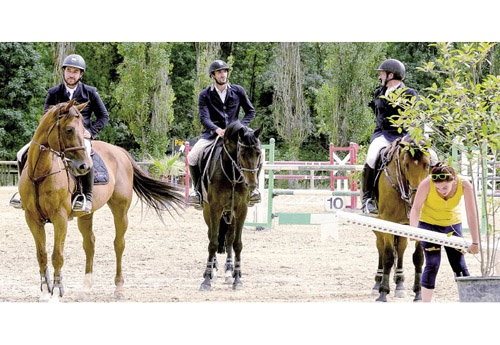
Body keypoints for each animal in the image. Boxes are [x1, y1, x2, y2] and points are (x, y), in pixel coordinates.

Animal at [17, 99, 187, 298]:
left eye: (82, 128)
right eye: (69, 129)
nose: (84, 166)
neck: (40, 174)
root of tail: (119, 151)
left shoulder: (60, 218)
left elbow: (57, 255)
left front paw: (58, 290)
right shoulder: (32, 218)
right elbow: (41, 255)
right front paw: (45, 290)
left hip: (120, 210)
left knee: (119, 244)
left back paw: (119, 287)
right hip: (86, 214)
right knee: (89, 243)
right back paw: (86, 285)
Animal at [198, 121, 264, 290]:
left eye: (258, 153)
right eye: (241, 154)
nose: (252, 184)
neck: (232, 172)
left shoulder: (241, 209)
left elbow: (237, 243)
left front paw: (237, 278)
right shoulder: (214, 208)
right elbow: (213, 243)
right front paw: (206, 279)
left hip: (230, 213)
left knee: (228, 237)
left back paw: (229, 270)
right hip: (207, 211)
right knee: (211, 235)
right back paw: (212, 269)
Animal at [372, 134, 430, 300]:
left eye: (427, 165)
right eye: (406, 165)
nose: (417, 200)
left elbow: (418, 257)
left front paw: (418, 293)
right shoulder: (388, 221)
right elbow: (388, 256)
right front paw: (383, 292)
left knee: (401, 248)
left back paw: (399, 283)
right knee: (380, 246)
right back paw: (378, 282)